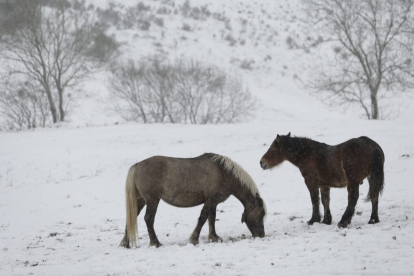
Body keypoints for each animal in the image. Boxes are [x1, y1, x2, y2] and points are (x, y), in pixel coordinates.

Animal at [119, 153, 268, 248]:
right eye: (260, 215)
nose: (261, 235)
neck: (224, 173)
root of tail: (137, 166)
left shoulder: (213, 202)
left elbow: (212, 219)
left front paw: (214, 237)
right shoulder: (210, 201)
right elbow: (203, 218)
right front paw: (194, 239)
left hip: (141, 200)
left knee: (132, 217)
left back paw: (125, 243)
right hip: (152, 201)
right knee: (148, 219)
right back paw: (155, 242)